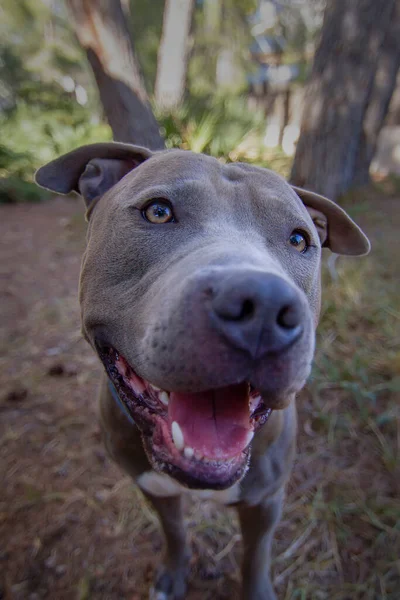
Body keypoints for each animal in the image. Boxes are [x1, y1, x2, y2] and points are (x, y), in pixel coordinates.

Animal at [36, 143, 370, 596]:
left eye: (300, 239)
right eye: (158, 211)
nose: (264, 305)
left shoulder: (265, 501)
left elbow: (255, 556)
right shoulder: (154, 488)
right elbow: (174, 531)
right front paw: (173, 575)